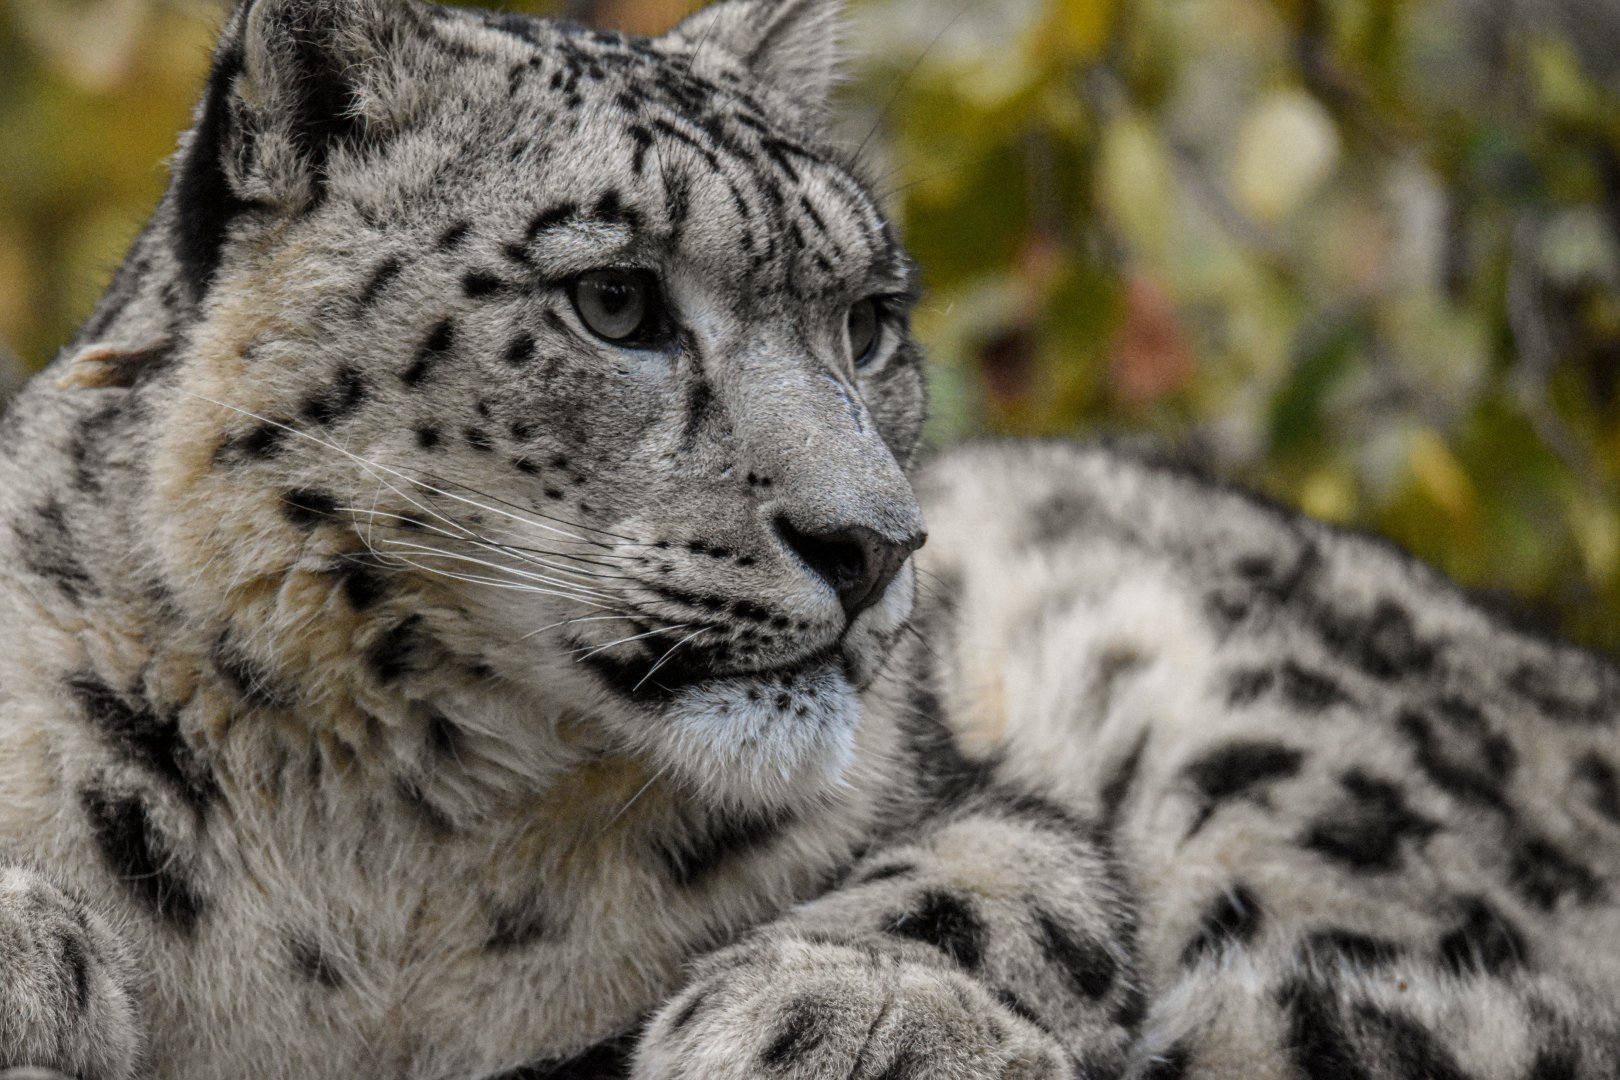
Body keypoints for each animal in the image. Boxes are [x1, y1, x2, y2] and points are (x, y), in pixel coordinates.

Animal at [1, 0, 1619, 1078]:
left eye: (870, 321)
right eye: (614, 300)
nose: (875, 546)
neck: (400, 846)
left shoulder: (977, 795)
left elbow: (1022, 877)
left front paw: (843, 1011)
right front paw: (41, 957)